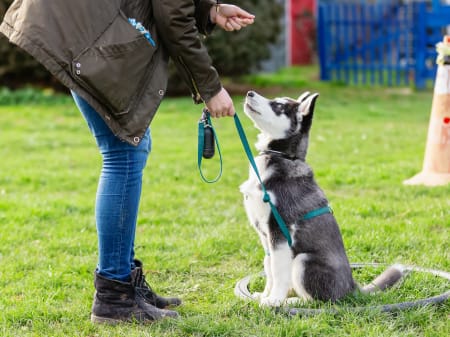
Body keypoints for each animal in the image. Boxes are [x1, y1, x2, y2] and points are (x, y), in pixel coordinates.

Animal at [241, 90, 356, 306]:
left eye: (278, 106)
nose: (250, 93)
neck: (282, 156)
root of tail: (352, 287)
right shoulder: (265, 235)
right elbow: (268, 265)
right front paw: (265, 294)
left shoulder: (279, 230)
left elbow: (278, 270)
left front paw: (274, 300)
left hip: (303, 260)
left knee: (320, 301)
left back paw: (291, 301)